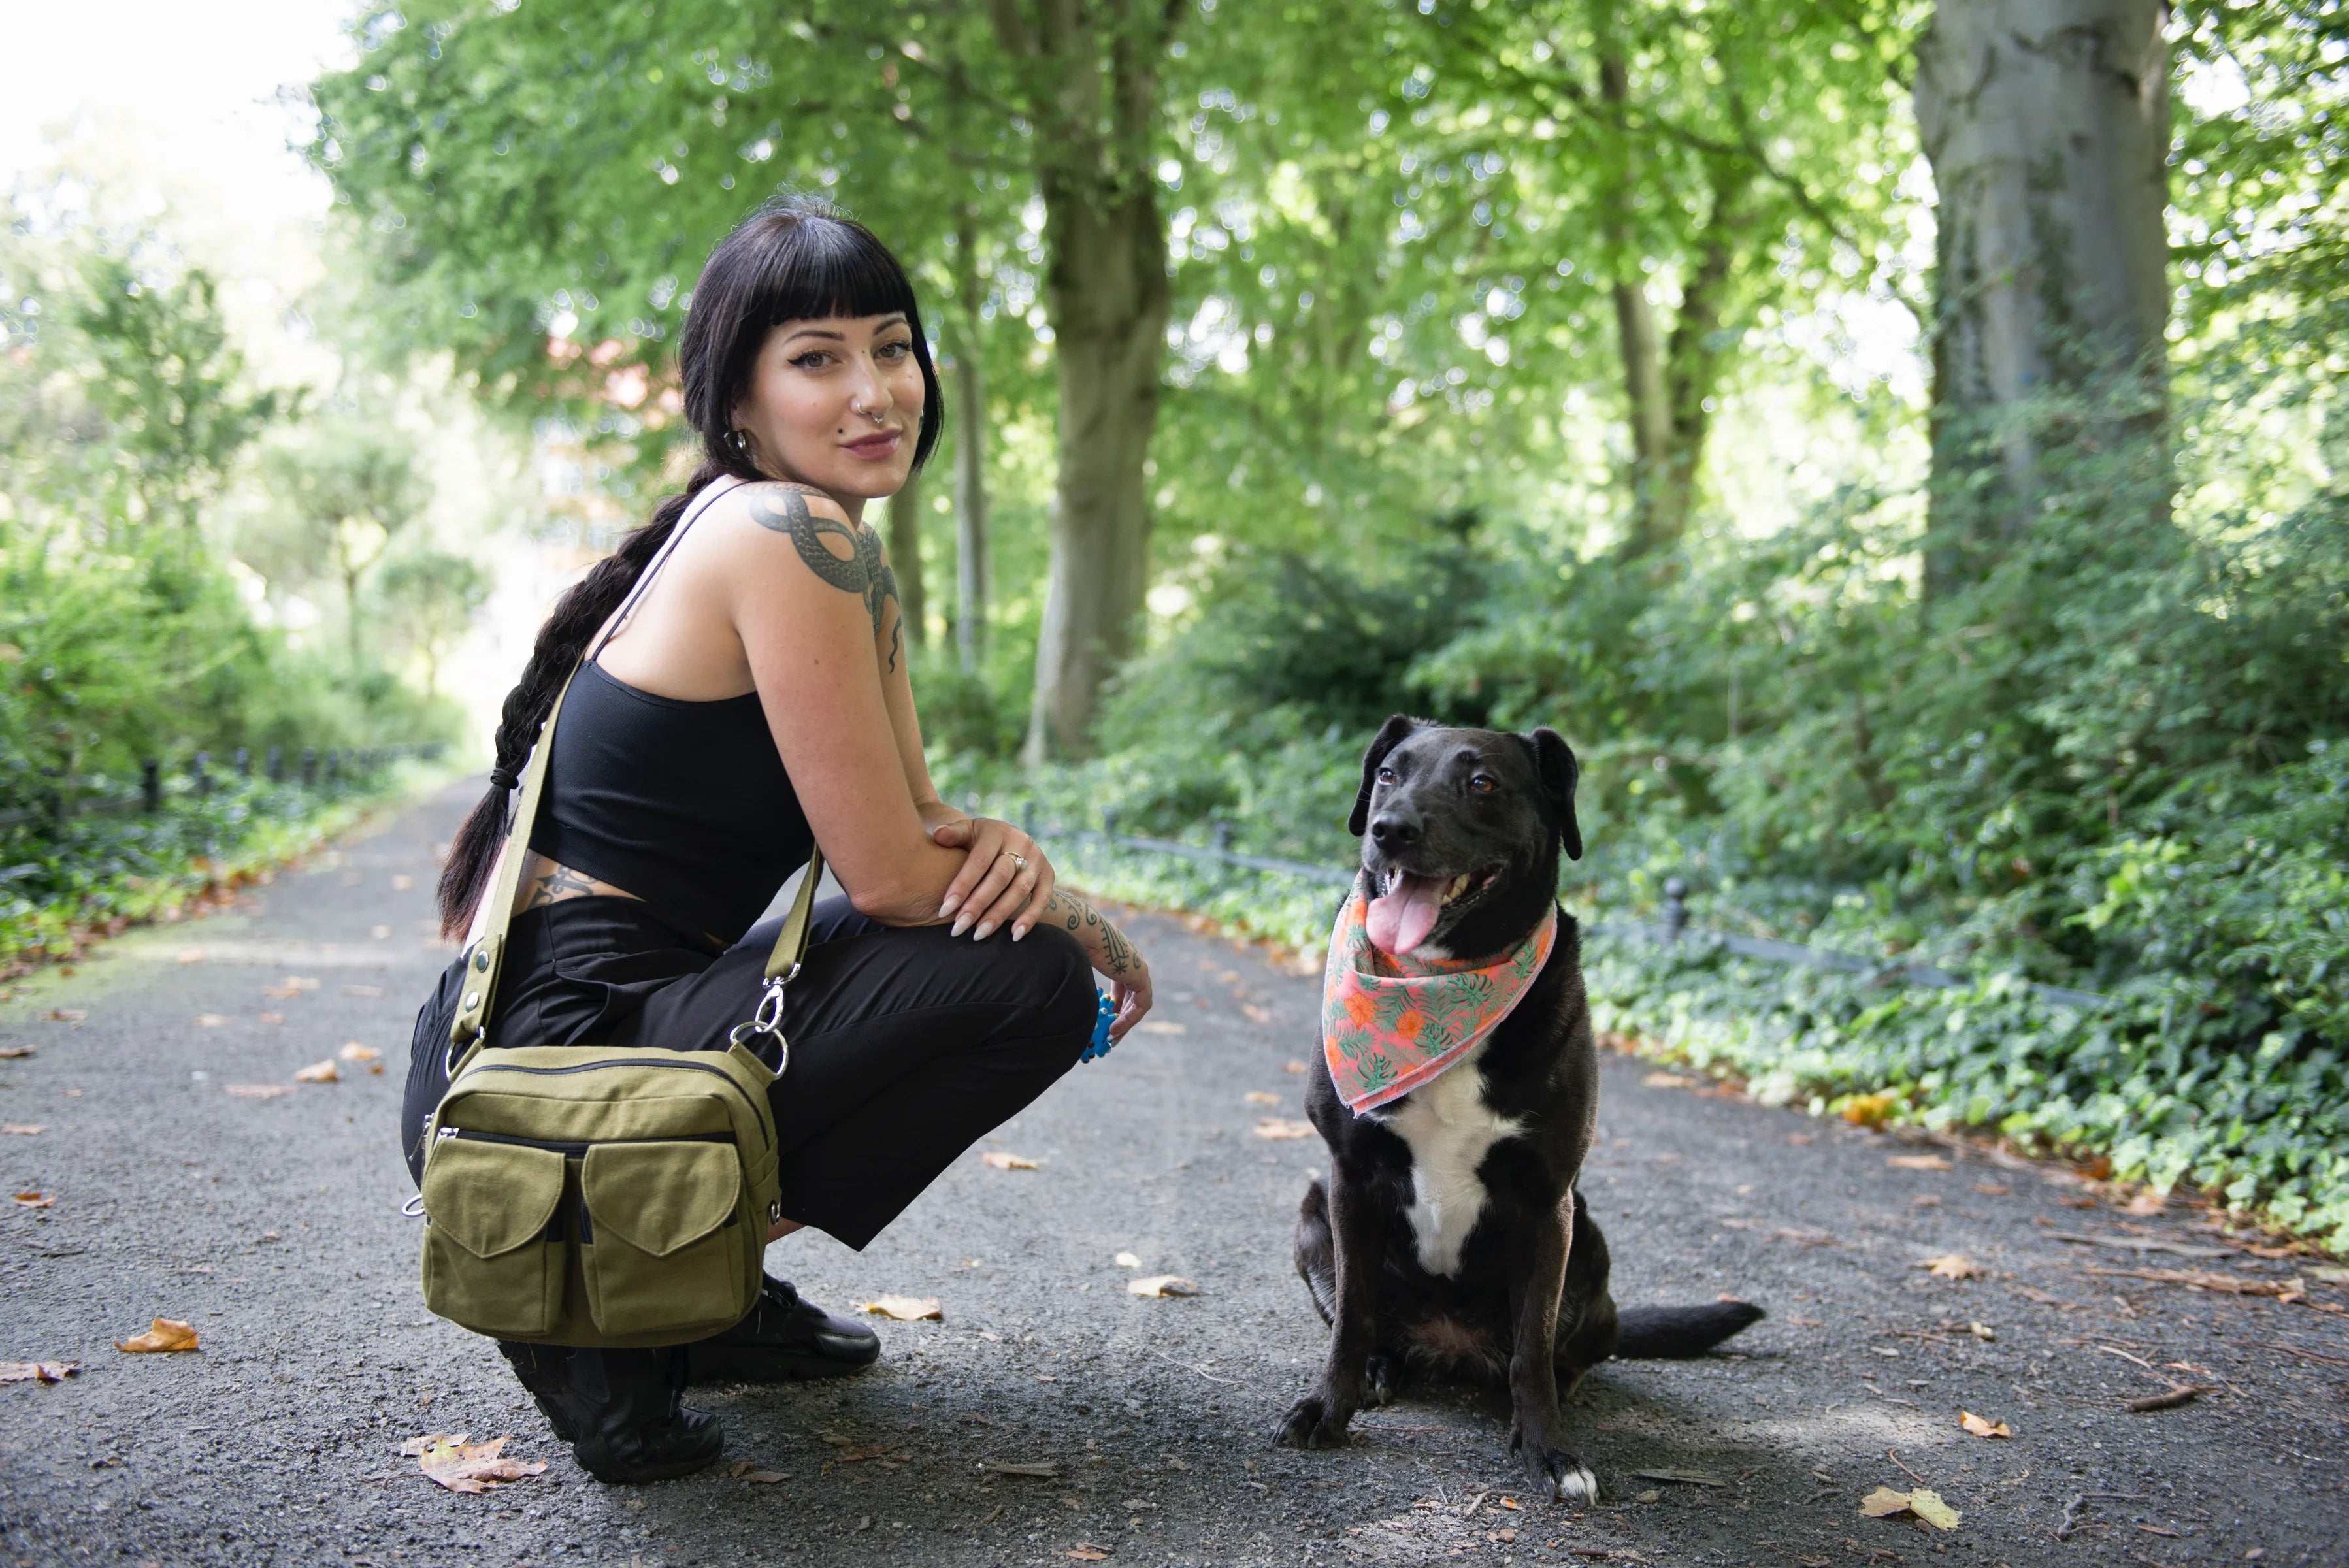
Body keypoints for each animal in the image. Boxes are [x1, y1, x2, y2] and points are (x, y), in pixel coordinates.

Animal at [1277, 718, 1757, 1502]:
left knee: (1558, 1353)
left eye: (1482, 783)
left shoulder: (1544, 1202)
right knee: (1373, 1321)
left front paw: (1551, 1450)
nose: (1389, 829)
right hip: (1313, 1211)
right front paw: (1327, 1409)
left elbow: (1532, 1349)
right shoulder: (1347, 1178)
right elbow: (1350, 1319)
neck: (1442, 981)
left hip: (1586, 1234)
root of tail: (1450, 1347)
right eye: (1387, 774)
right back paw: (1383, 1367)